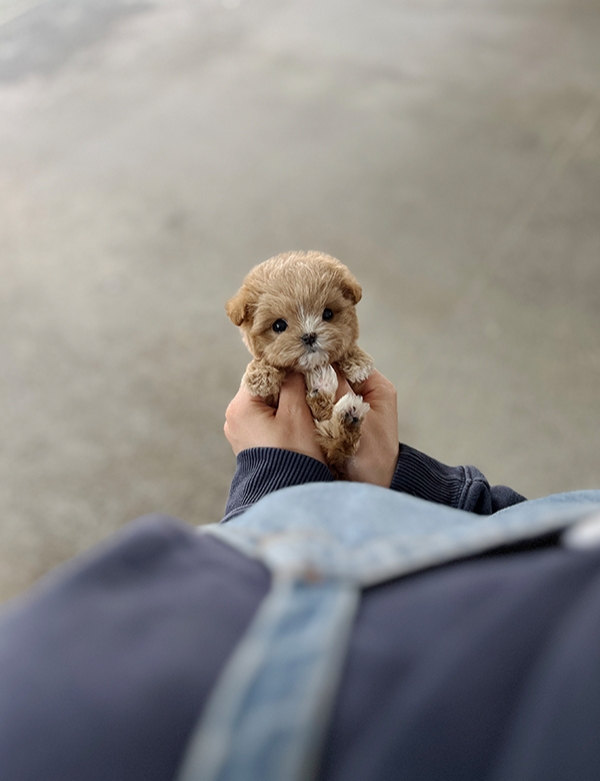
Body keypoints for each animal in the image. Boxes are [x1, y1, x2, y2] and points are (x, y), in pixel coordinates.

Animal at [226, 250, 372, 472]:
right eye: (279, 326)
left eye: (328, 313)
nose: (309, 335)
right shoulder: (271, 398)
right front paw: (260, 376)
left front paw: (358, 362)